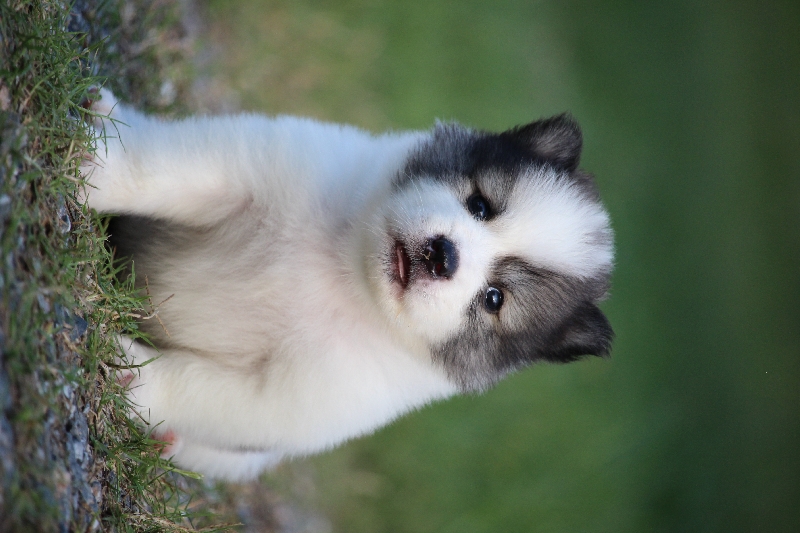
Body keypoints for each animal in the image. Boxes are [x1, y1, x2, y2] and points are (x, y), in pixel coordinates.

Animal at [81, 90, 614, 481]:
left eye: (494, 298)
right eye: (480, 205)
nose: (443, 255)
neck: (342, 273)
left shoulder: (301, 397)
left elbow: (203, 391)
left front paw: (134, 375)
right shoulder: (252, 165)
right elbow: (165, 172)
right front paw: (97, 169)